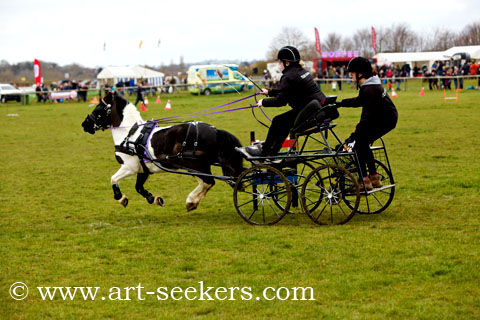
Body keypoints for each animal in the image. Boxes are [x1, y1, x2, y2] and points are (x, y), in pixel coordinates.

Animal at [81, 89, 244, 210]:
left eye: (98, 108)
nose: (85, 124)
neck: (130, 134)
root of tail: (215, 131)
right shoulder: (143, 168)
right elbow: (139, 187)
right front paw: (154, 199)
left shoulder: (129, 167)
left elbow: (113, 179)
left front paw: (121, 198)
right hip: (197, 165)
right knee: (207, 182)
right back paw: (193, 201)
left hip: (193, 164)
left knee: (207, 181)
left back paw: (191, 200)